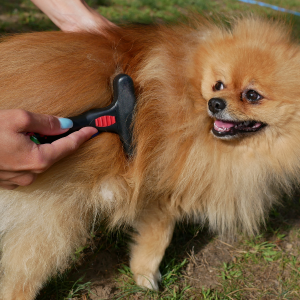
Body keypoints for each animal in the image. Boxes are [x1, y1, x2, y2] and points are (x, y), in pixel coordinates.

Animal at [0, 17, 300, 300]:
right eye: (219, 85)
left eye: (252, 95)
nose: (215, 103)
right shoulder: (161, 190)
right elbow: (158, 239)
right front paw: (146, 276)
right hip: (53, 219)